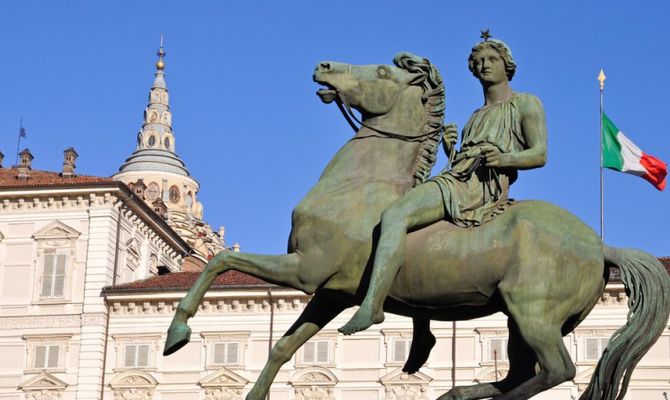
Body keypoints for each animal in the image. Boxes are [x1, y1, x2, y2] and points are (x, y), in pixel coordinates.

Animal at [164, 52, 670, 400]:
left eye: (381, 72)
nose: (323, 65)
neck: (358, 185)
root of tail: (601, 246)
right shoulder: (331, 292)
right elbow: (282, 348)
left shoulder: (307, 271)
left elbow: (220, 260)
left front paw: (177, 333)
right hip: (518, 319)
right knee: (522, 373)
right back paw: (460, 391)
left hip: (534, 315)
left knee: (558, 371)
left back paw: (464, 392)